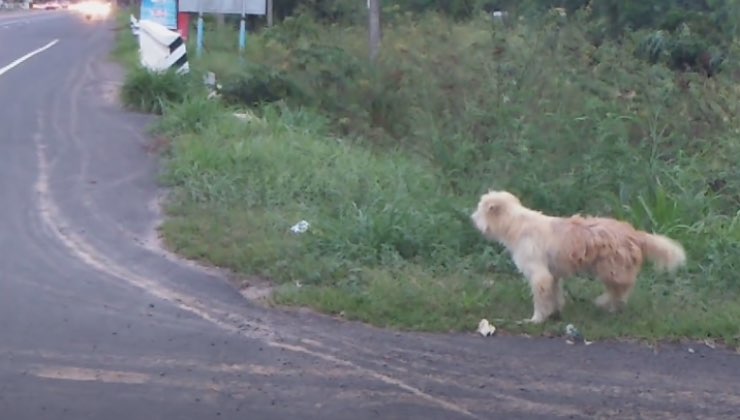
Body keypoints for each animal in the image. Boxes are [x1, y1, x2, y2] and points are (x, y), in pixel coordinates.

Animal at [472, 190, 684, 324]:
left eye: (480, 210)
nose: (472, 218)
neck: (516, 224)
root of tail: (634, 234)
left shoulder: (539, 275)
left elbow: (540, 299)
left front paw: (536, 320)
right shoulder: (553, 275)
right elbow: (554, 294)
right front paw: (555, 312)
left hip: (611, 269)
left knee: (621, 289)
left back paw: (604, 302)